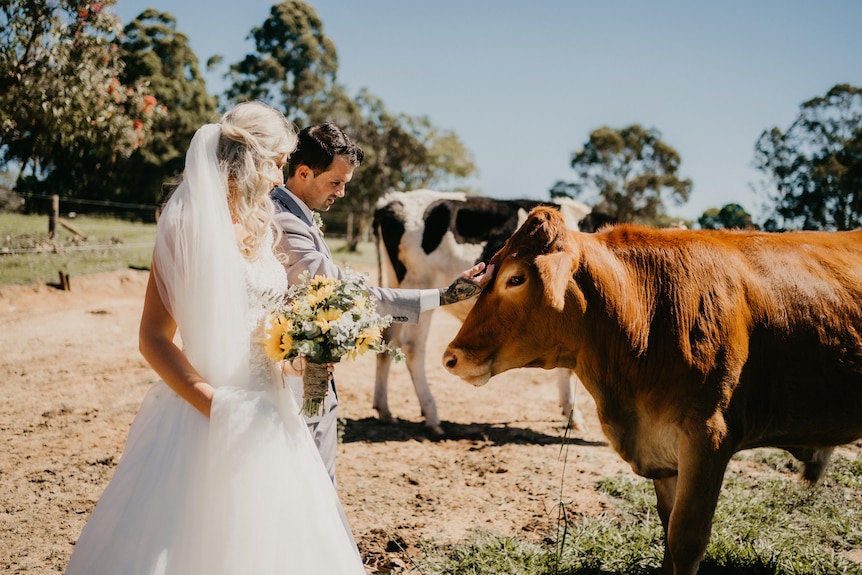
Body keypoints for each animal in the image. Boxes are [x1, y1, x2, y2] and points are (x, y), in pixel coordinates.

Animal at [372, 191, 616, 434]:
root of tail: (391, 200)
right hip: (419, 281)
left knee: (386, 340)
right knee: (413, 348)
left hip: (397, 286)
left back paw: (384, 410)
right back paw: (432, 415)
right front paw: (574, 416)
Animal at [442, 207, 862, 575]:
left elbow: (685, 540)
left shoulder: (708, 438)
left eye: (516, 279)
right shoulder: (664, 451)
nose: (451, 357)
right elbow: (667, 531)